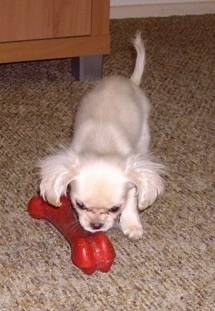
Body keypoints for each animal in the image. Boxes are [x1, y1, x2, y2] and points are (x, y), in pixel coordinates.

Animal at [39, 32, 165, 241]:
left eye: (115, 209)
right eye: (80, 205)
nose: (96, 225)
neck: (102, 145)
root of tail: (130, 82)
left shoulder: (131, 177)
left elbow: (132, 199)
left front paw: (131, 224)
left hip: (143, 137)